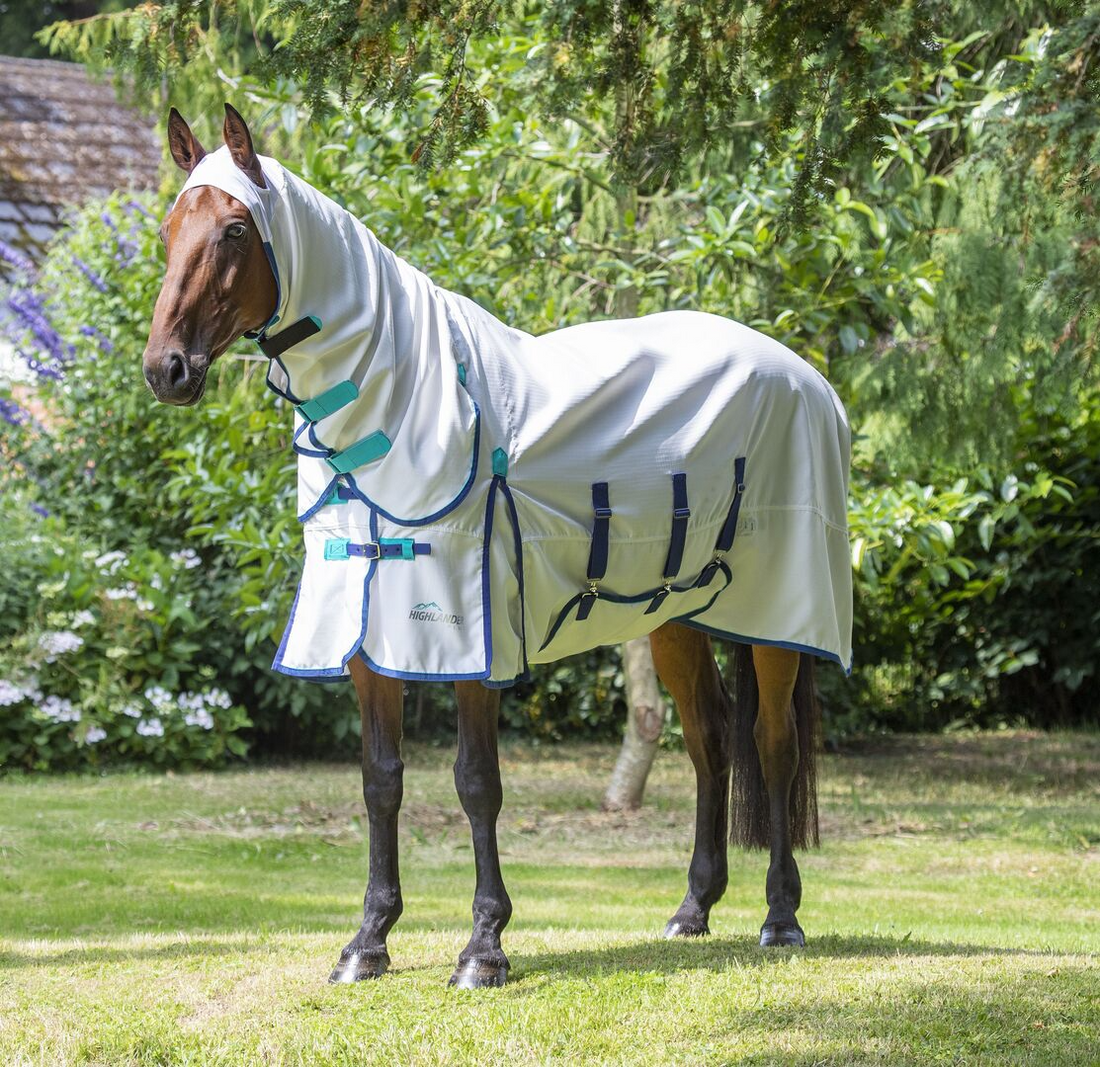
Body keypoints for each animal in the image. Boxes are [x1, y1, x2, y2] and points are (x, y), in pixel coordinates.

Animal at [142, 104, 852, 990]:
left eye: (235, 229)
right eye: (169, 228)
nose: (166, 369)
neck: (406, 401)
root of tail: (806, 376)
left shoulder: (467, 635)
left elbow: (476, 782)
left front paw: (483, 947)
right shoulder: (367, 637)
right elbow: (381, 781)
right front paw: (367, 941)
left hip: (777, 617)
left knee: (775, 746)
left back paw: (780, 917)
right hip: (674, 617)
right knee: (710, 741)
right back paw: (693, 909)